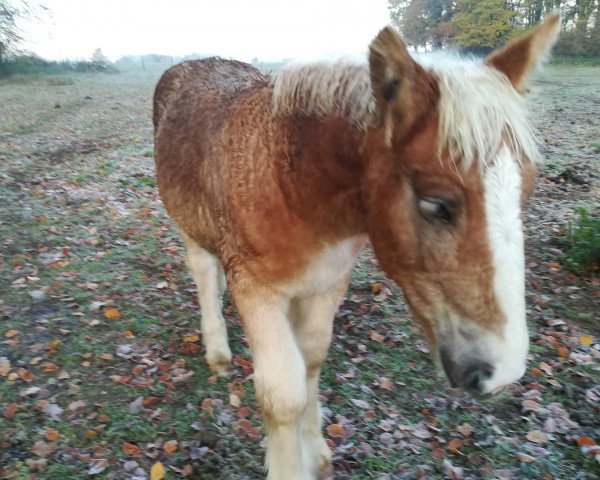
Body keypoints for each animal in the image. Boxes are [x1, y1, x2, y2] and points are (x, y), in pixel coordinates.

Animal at [152, 15, 560, 480]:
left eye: (525, 195)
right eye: (436, 205)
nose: (503, 370)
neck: (291, 183)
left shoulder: (327, 284)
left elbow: (311, 363)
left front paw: (315, 451)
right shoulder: (256, 290)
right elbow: (283, 393)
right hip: (190, 226)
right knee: (204, 275)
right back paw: (217, 350)